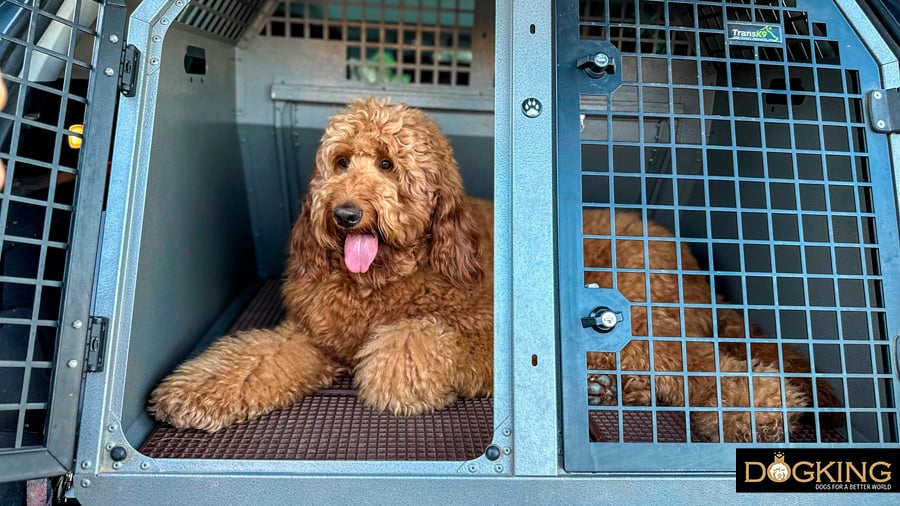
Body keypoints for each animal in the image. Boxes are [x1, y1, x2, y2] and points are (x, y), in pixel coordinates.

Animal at [149, 97, 836, 440]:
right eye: (340, 162)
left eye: (389, 164)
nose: (345, 214)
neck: (386, 280)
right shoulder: (311, 337)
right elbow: (254, 357)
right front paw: (193, 393)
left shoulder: (481, 332)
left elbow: (414, 342)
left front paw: (394, 372)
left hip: (636, 307)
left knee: (694, 364)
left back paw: (762, 408)